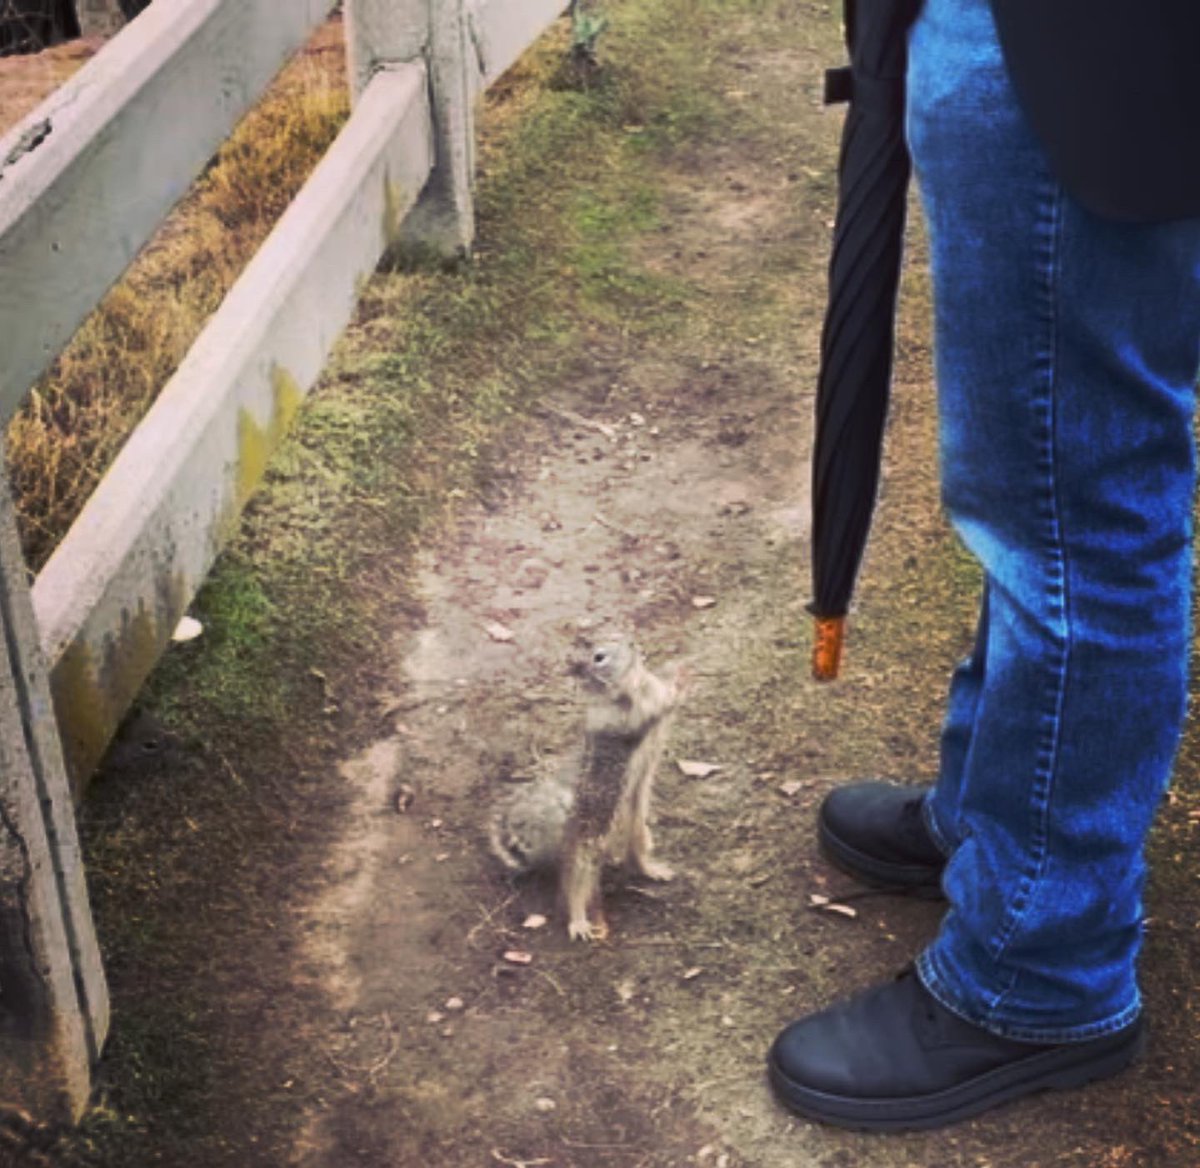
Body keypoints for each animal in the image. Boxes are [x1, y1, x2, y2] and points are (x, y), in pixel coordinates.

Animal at [488, 636, 685, 941]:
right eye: (599, 657)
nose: (633, 643)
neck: (635, 684)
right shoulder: (624, 716)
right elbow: (651, 712)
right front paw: (680, 680)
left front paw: (675, 671)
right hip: (583, 849)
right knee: (573, 888)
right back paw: (579, 922)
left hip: (636, 829)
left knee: (635, 857)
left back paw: (653, 870)